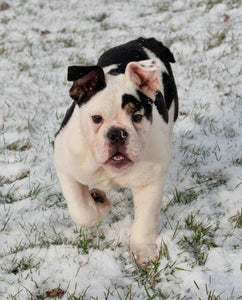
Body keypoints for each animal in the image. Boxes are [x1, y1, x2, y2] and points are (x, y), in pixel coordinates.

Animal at [54, 37, 179, 264]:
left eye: (137, 117)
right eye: (96, 118)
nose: (116, 134)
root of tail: (142, 40)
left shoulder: (150, 180)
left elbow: (145, 219)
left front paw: (143, 251)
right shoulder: (65, 168)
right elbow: (81, 210)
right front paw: (99, 204)